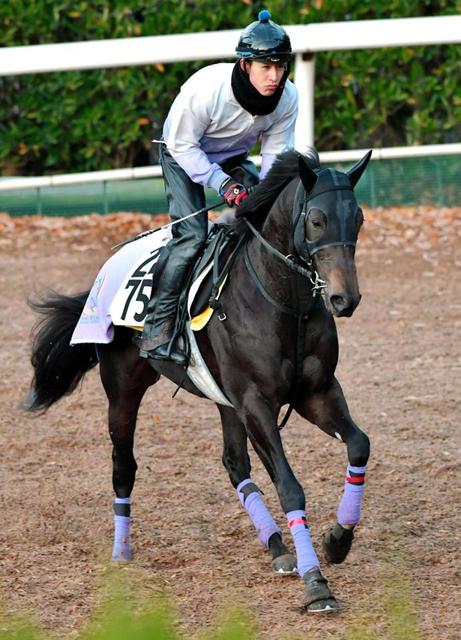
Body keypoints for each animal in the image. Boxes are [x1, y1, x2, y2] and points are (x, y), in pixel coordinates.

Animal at [24, 148, 370, 612]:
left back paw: (277, 547)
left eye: (359, 218)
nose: (343, 298)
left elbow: (358, 445)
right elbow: (289, 487)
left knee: (235, 463)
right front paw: (316, 584)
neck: (284, 304)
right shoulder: (256, 402)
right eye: (316, 219)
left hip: (226, 400)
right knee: (124, 465)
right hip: (124, 392)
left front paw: (337, 540)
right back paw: (121, 551)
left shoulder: (314, 393)